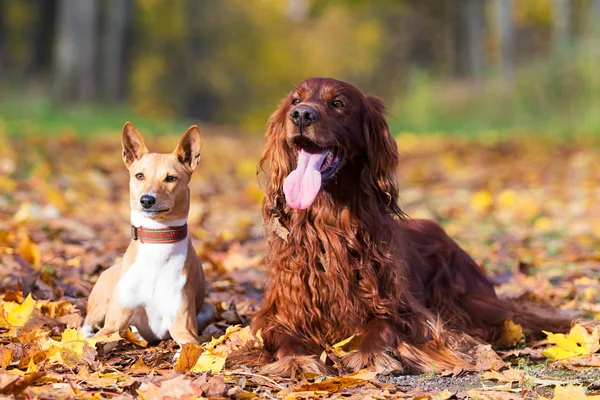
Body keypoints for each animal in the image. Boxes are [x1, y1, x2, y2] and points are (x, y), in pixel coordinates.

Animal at [82, 122, 216, 346]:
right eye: (139, 176)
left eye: (170, 178)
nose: (146, 200)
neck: (157, 240)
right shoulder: (115, 322)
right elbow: (83, 343)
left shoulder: (183, 327)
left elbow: (190, 346)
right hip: (101, 302)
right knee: (86, 325)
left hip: (209, 309)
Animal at [250, 76, 572, 376]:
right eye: (295, 101)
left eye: (337, 103)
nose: (302, 115)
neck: (328, 224)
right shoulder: (280, 312)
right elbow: (281, 336)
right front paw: (296, 360)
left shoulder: (403, 306)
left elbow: (384, 325)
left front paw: (371, 355)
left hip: (470, 302)